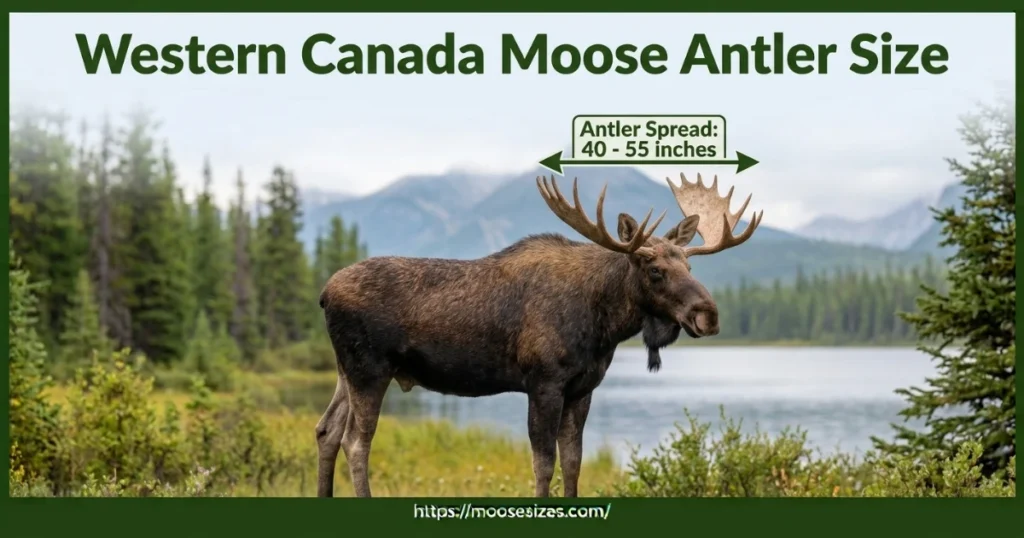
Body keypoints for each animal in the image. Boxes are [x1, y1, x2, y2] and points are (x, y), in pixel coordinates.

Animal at [315, 173, 762, 498]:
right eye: (655, 270)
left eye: (690, 267)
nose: (708, 315)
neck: (604, 325)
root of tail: (323, 294)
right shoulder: (544, 382)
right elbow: (543, 463)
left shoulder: (583, 388)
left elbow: (574, 462)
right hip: (370, 370)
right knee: (356, 441)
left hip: (345, 371)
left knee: (326, 430)